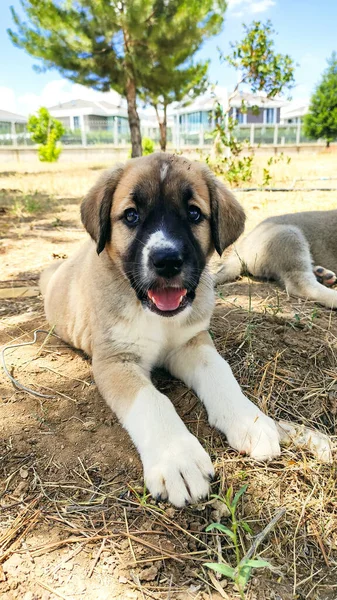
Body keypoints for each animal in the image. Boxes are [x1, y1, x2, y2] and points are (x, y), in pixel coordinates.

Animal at [39, 155, 278, 506]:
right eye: (131, 215)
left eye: (193, 213)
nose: (167, 260)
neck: (155, 316)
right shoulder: (115, 361)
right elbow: (152, 401)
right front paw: (178, 458)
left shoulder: (192, 343)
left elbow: (221, 373)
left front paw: (249, 419)